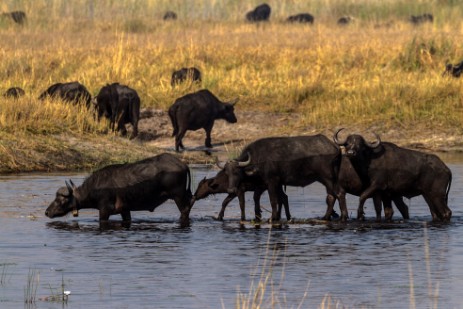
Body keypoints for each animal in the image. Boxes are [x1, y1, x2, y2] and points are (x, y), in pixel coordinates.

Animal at [45, 153, 194, 225]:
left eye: (60, 200)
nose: (47, 212)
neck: (94, 188)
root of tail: (182, 164)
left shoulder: (104, 210)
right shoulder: (125, 210)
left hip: (178, 196)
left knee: (185, 211)